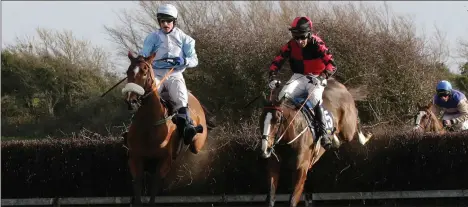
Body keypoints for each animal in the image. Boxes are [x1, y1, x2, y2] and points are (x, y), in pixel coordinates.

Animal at [120, 52, 208, 205]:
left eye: (144, 72)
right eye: (128, 71)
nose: (131, 100)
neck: (149, 126)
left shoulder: (164, 161)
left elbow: (154, 188)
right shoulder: (135, 158)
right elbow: (137, 187)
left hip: (197, 143)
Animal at [260, 78, 372, 207]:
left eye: (277, 120)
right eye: (261, 119)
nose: (266, 149)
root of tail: (338, 84)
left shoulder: (301, 169)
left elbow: (293, 199)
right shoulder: (273, 167)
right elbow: (271, 196)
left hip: (348, 129)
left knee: (355, 120)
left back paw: (365, 137)